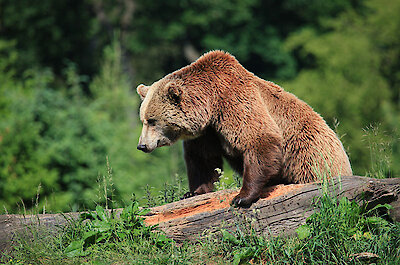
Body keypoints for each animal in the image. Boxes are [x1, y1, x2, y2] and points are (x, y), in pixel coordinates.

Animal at [136, 49, 352, 206]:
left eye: (152, 120)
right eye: (143, 119)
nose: (142, 146)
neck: (210, 105)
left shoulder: (234, 101)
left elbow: (259, 139)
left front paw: (241, 197)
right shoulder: (207, 131)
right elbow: (203, 159)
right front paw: (192, 192)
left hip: (310, 158)